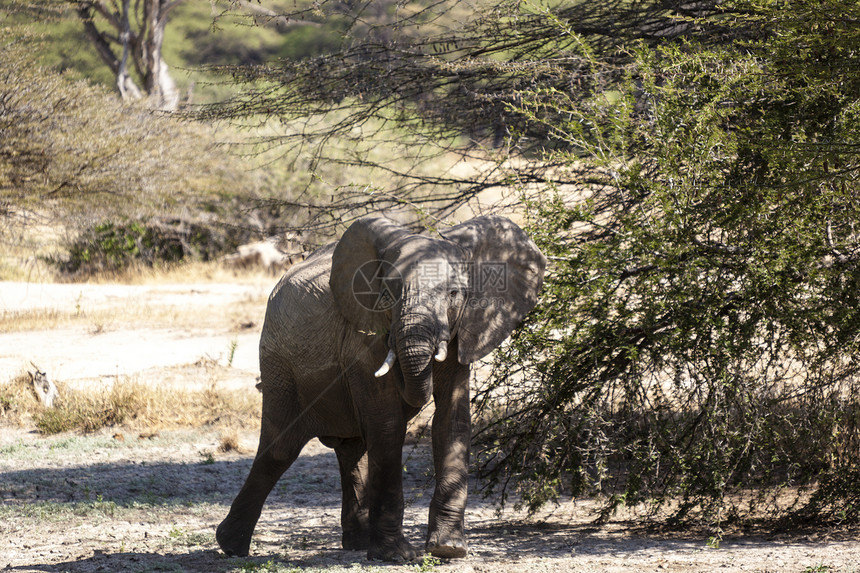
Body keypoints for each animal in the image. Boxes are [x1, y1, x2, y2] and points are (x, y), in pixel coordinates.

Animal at [214, 213, 544, 560]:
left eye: (454, 293)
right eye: (389, 292)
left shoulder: (463, 330)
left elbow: (451, 421)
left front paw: (448, 548)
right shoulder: (362, 338)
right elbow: (387, 426)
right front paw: (397, 555)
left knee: (352, 451)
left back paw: (358, 544)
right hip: (278, 363)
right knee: (280, 448)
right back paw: (231, 546)